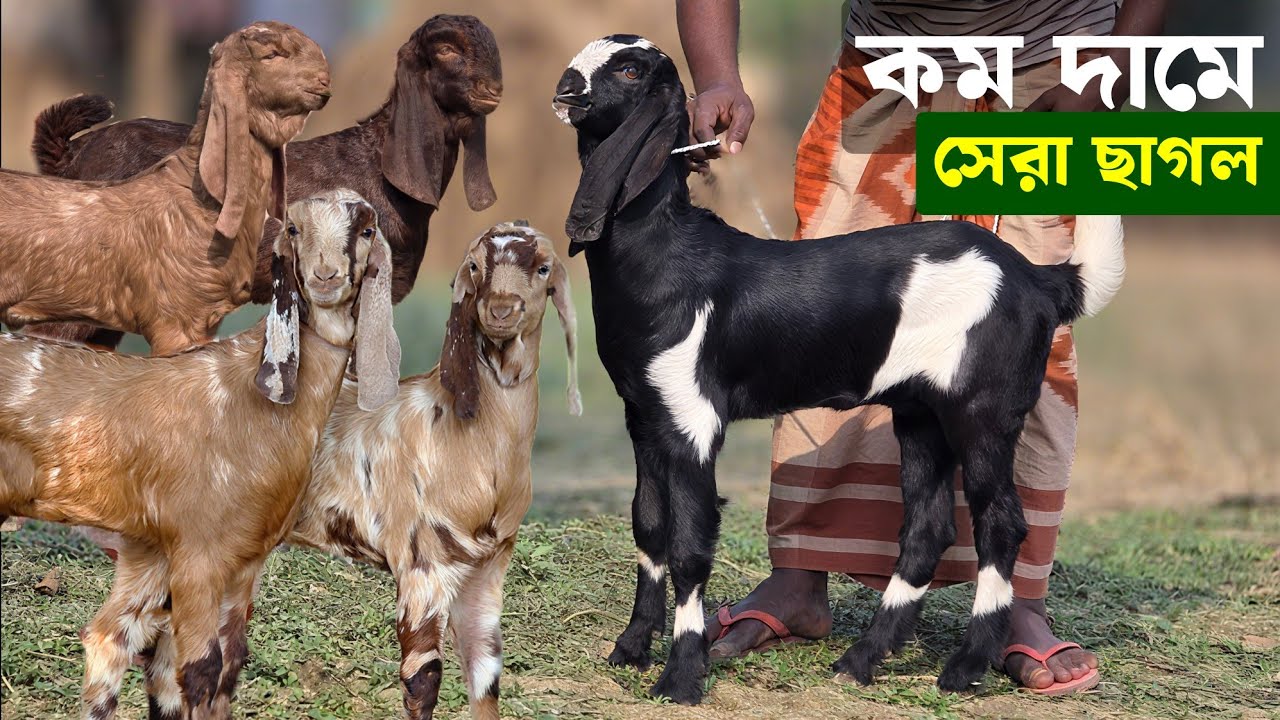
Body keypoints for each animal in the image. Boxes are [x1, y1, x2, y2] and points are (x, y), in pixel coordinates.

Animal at [0, 189, 401, 719]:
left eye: (367, 229)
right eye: (294, 228)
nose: (326, 276)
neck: (246, 394)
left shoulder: (203, 557)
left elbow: (146, 653)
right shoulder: (199, 554)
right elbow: (197, 670)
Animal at [552, 36, 1125, 704]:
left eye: (628, 69)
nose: (565, 88)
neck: (666, 254)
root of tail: (1039, 279)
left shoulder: (693, 420)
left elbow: (690, 546)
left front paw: (683, 676)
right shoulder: (643, 414)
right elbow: (648, 528)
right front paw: (631, 649)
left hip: (982, 411)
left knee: (1001, 524)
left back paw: (965, 667)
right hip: (921, 415)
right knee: (927, 529)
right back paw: (863, 658)